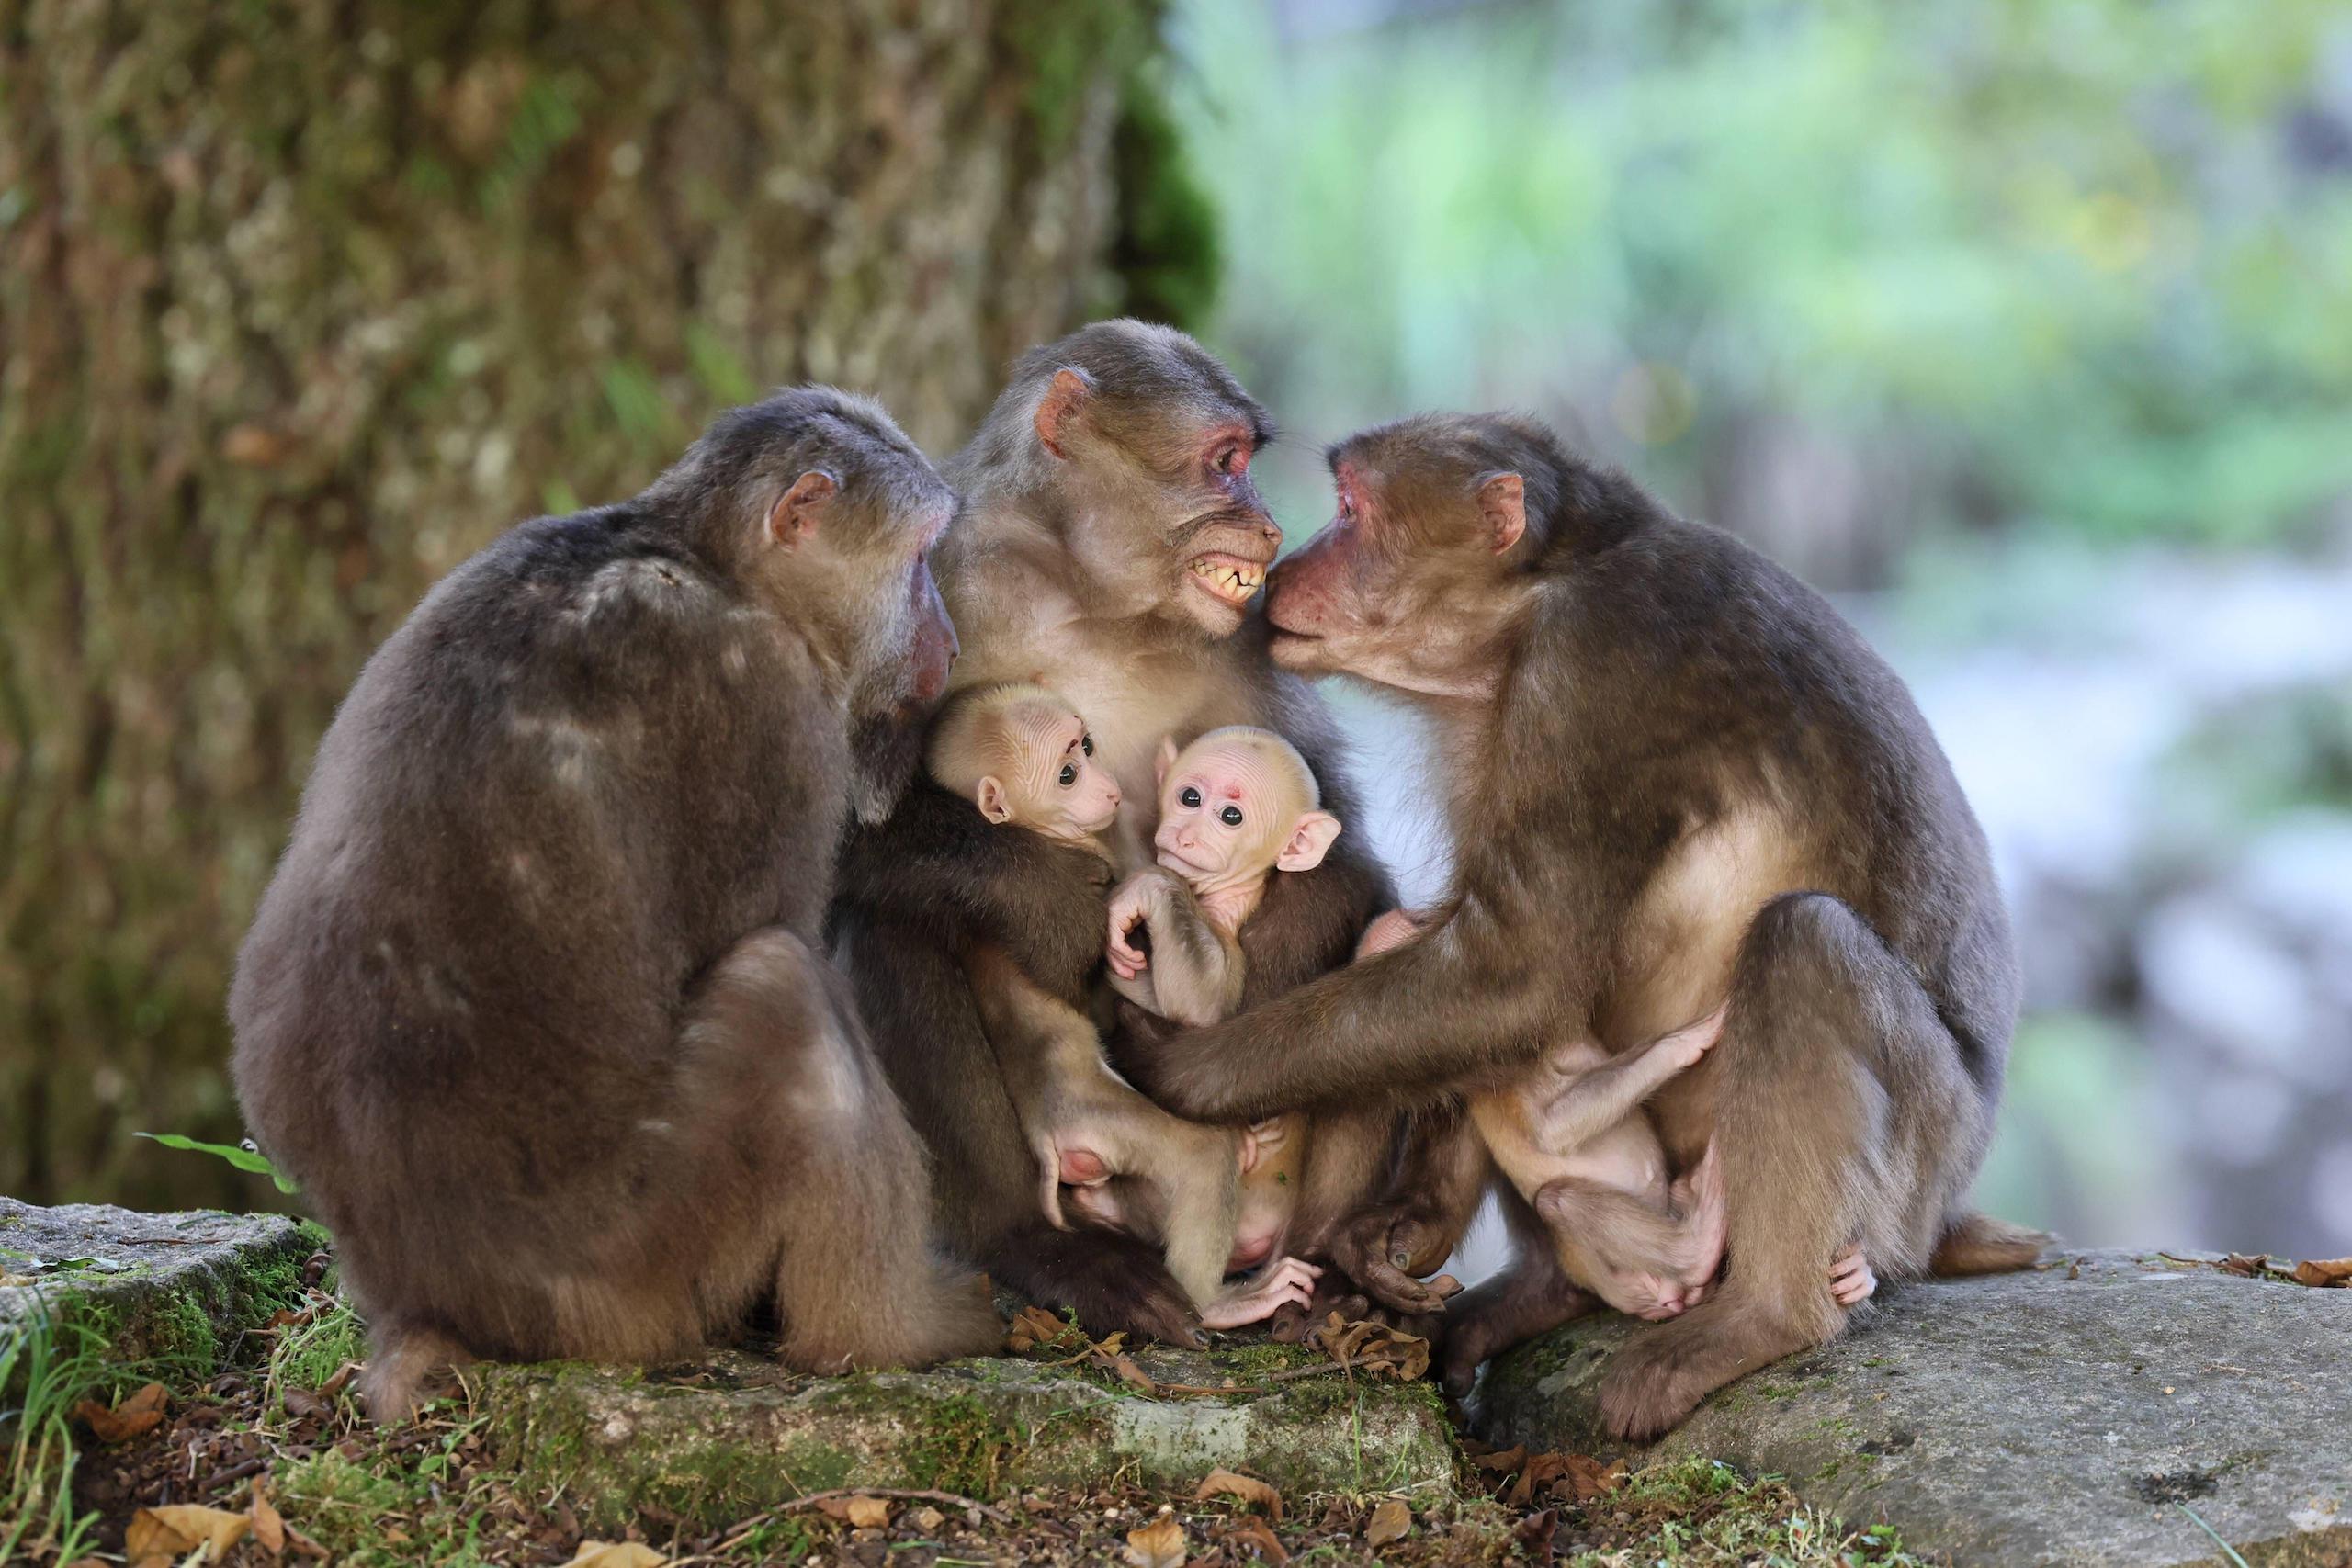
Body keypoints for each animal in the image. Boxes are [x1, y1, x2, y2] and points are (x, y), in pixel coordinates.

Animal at [230, 389, 1002, 1421]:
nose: (949, 642)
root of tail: (430, 1304)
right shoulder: (773, 709)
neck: (702, 556)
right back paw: (884, 1331)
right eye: (920, 559)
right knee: (780, 985)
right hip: (634, 1269)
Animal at [921, 685, 1322, 1329]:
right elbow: (1197, 1008)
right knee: (1202, 1156)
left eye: (1230, 815)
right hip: (1099, 1117)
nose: (1184, 834)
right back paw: (1217, 1304)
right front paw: (1149, 891)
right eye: (1190, 797)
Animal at [1111, 411, 2046, 1437]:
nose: (1290, 563)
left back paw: (1765, 1317)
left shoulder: (1590, 668)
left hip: (1917, 1162)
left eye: (1351, 510)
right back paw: (1542, 1291)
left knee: (1802, 943)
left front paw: (1177, 1071)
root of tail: (1954, 1195)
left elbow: (1516, 975)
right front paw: (1410, 1222)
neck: (1537, 601)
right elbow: (1475, 972)